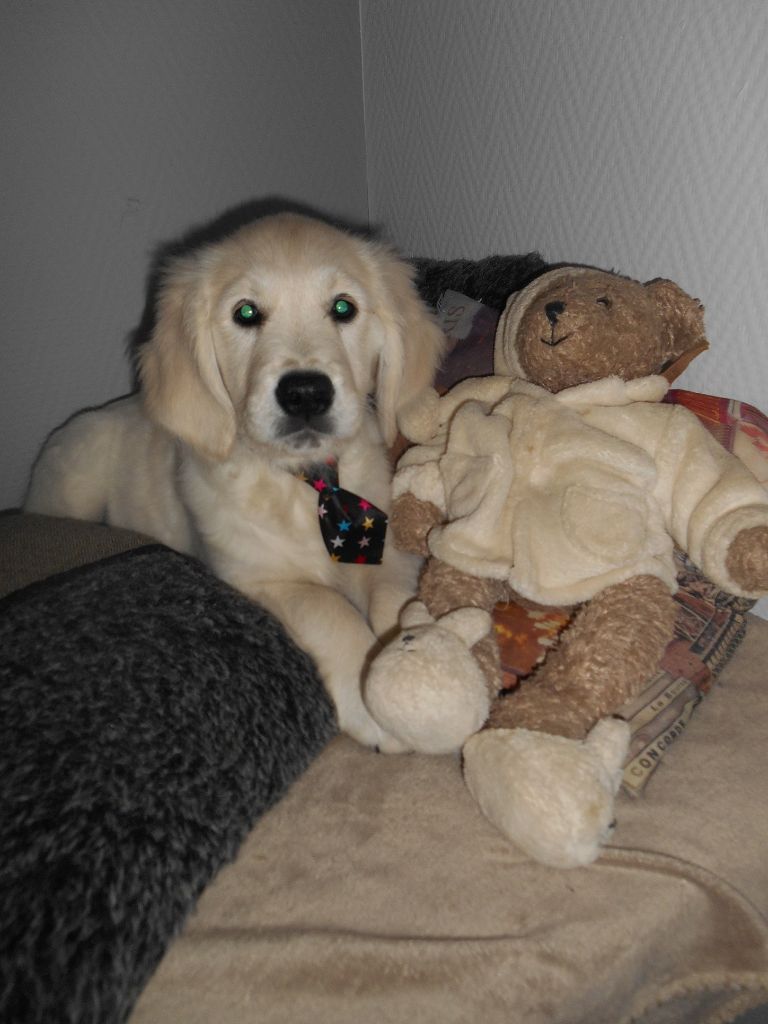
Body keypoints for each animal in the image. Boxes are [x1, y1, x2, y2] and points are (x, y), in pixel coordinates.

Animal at [27, 211, 444, 749]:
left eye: (343, 307)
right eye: (245, 314)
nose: (305, 393)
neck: (304, 487)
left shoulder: (385, 547)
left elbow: (395, 598)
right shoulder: (253, 578)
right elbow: (327, 610)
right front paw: (369, 696)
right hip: (72, 486)